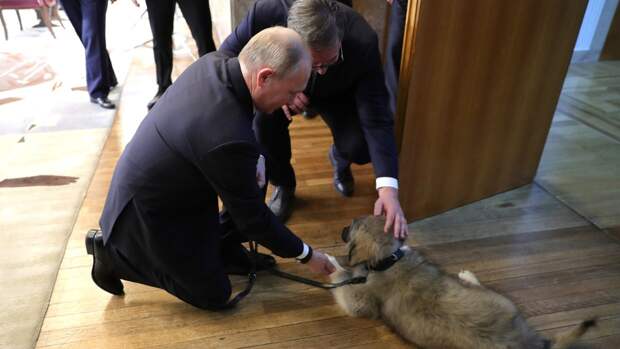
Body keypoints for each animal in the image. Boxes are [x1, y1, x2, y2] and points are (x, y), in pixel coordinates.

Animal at [330, 215, 596, 348]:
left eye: (351, 227)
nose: (341, 228)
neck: (389, 258)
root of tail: (520, 341)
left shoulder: (359, 301)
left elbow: (341, 280)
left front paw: (330, 264)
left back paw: (468, 276)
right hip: (502, 302)